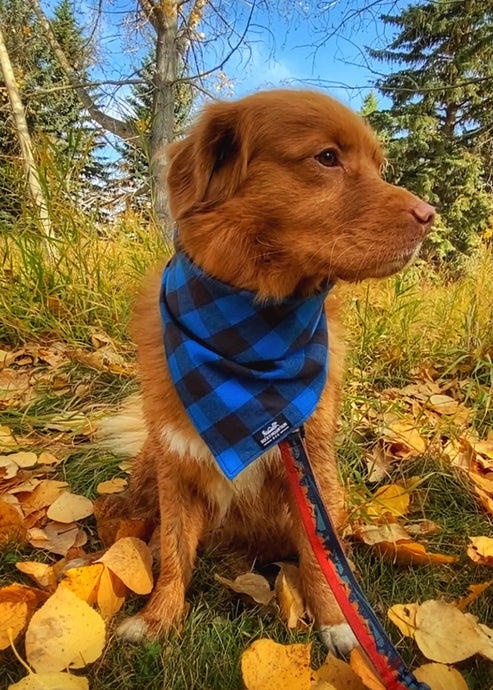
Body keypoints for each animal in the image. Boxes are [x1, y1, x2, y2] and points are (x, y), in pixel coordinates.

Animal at [94, 88, 432, 652]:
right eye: (327, 158)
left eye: (377, 166)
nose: (431, 216)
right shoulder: (176, 467)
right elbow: (175, 554)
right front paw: (158, 617)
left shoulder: (312, 463)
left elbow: (322, 558)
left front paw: (339, 623)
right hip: (147, 473)